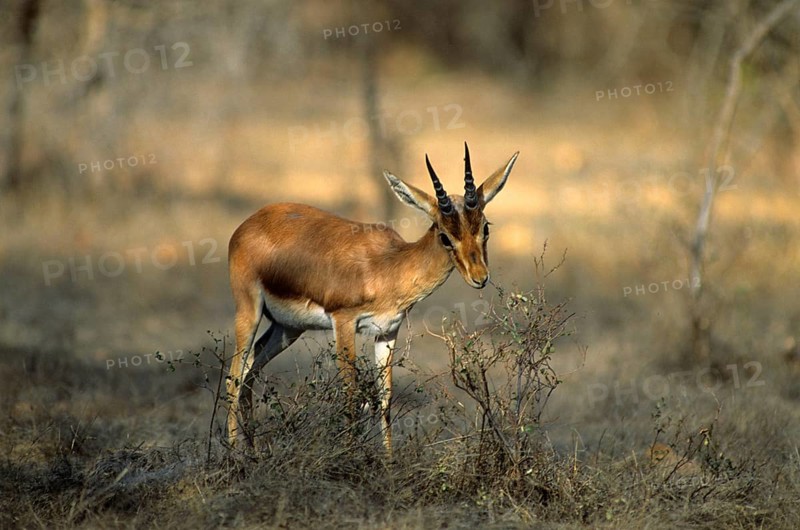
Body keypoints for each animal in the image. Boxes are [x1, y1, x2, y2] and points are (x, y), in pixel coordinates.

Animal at [226, 143, 519, 454]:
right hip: (249, 311)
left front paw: (387, 461)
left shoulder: (387, 332)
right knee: (234, 376)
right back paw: (235, 455)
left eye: (485, 227)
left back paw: (253, 452)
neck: (388, 265)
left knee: (250, 372)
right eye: (445, 236)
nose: (480, 277)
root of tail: (249, 223)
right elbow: (351, 393)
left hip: (287, 328)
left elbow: (385, 398)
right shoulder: (343, 322)